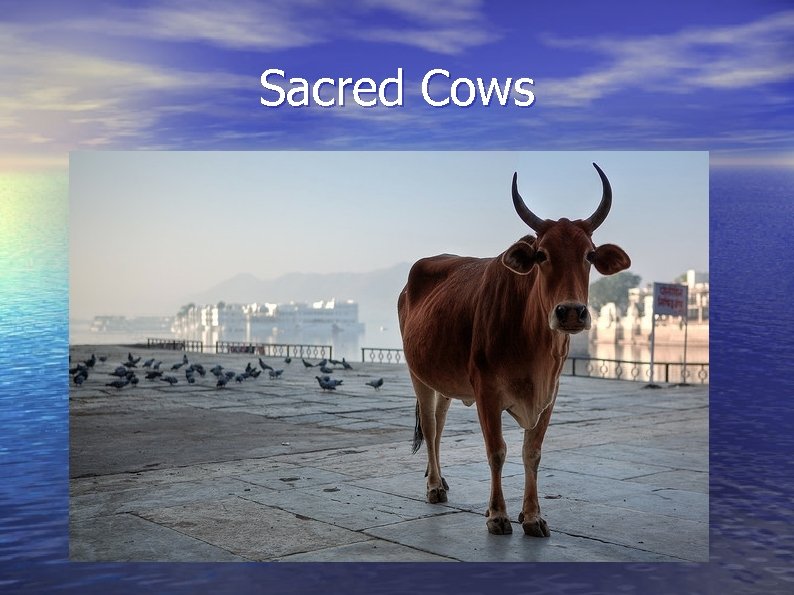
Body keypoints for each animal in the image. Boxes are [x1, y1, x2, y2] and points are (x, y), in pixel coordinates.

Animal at [398, 163, 631, 537]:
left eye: (589, 255)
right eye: (541, 255)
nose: (571, 312)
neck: (533, 340)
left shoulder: (549, 394)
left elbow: (531, 452)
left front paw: (533, 516)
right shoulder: (487, 392)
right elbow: (497, 451)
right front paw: (497, 515)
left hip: (445, 380)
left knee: (440, 424)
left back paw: (442, 480)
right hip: (417, 373)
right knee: (431, 426)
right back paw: (434, 486)